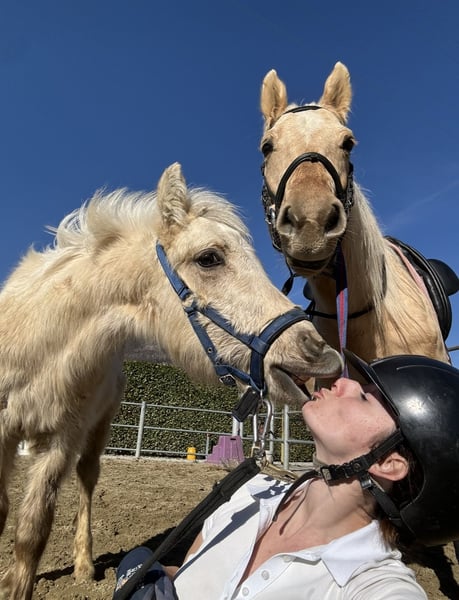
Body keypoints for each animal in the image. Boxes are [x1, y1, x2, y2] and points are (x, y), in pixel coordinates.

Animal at [0, 162, 342, 599]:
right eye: (209, 258)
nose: (320, 352)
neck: (37, 349)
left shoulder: (60, 441)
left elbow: (32, 532)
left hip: (96, 428)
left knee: (87, 481)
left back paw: (84, 565)